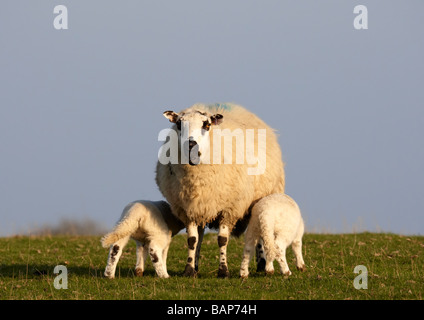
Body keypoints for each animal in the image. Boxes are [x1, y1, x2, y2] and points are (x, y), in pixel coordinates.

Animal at [156, 103, 284, 278]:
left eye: (207, 125)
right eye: (179, 124)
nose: (191, 145)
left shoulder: (229, 208)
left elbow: (222, 240)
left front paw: (223, 270)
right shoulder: (188, 209)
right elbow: (192, 240)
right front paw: (189, 270)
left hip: (262, 201)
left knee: (261, 232)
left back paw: (262, 264)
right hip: (202, 206)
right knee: (200, 236)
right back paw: (196, 265)